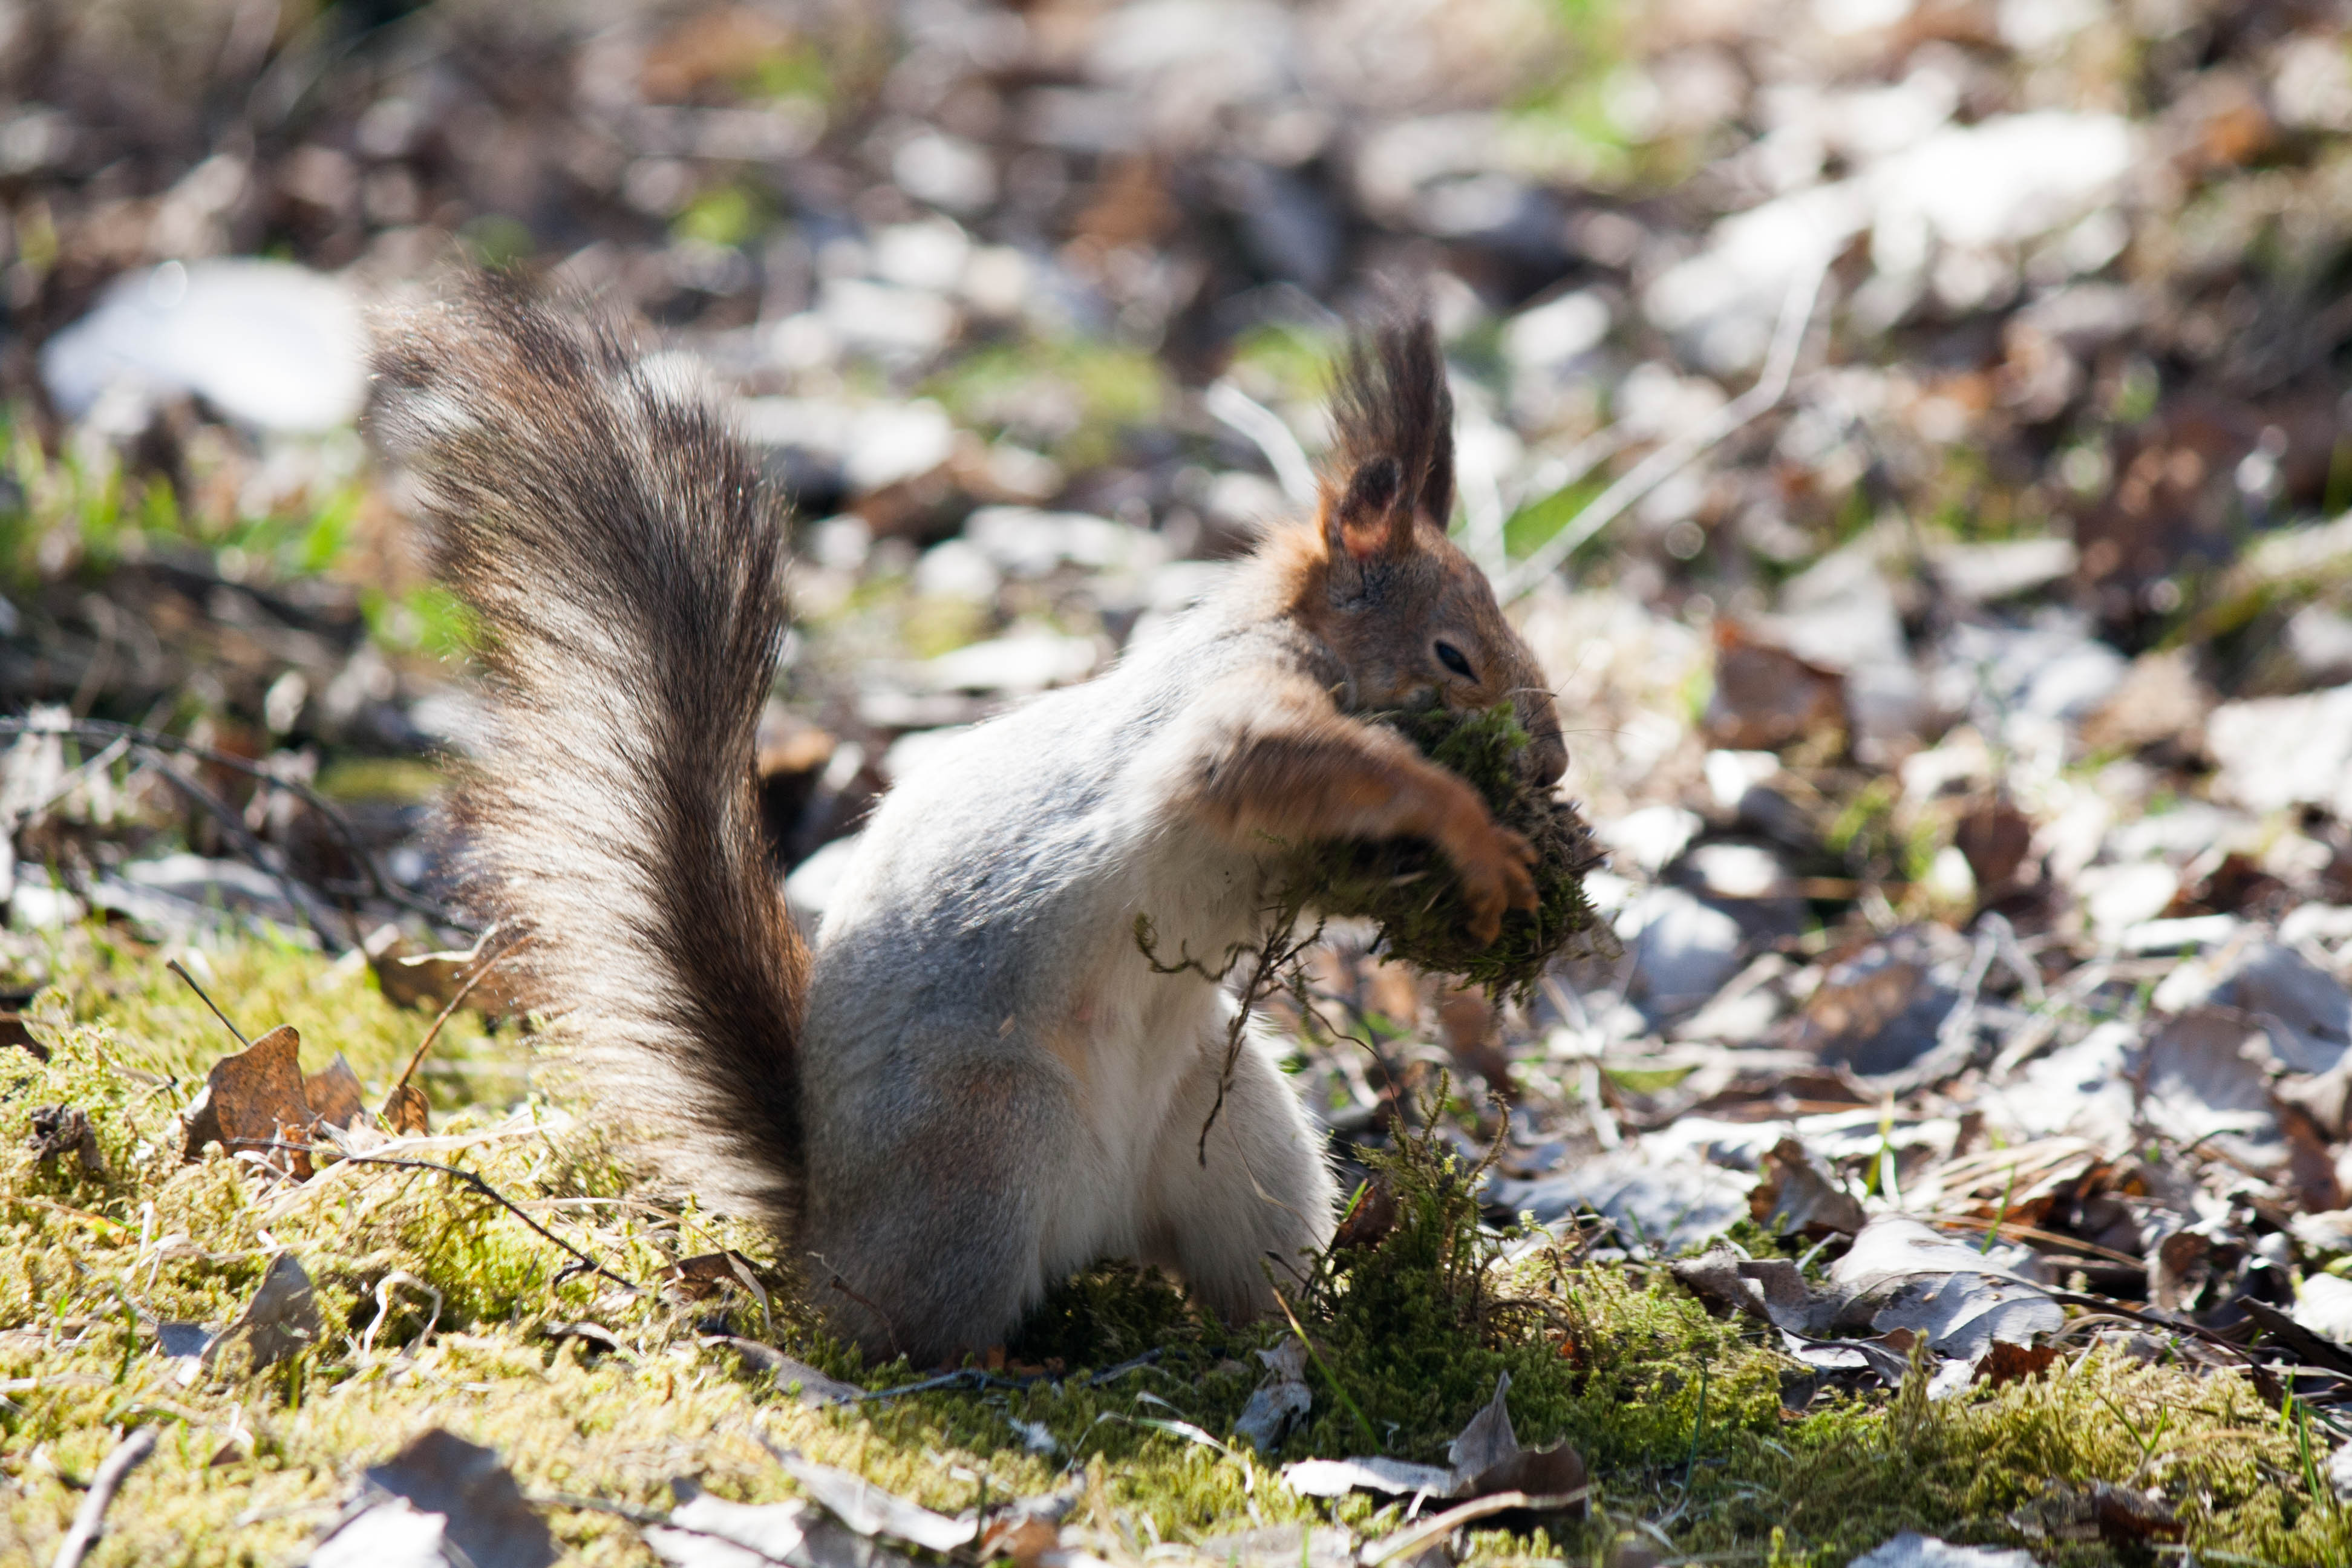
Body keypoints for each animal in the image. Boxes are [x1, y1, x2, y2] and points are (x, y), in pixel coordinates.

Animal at [367, 276, 1571, 1363]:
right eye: (1454, 654)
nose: (1555, 759)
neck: (1286, 636)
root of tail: (827, 1236)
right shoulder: (1221, 712)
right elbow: (1258, 761)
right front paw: (1474, 827)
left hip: (1239, 1145)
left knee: (1244, 1269)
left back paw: (1304, 1339)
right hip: (988, 1152)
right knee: (913, 1330)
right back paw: (996, 1360)